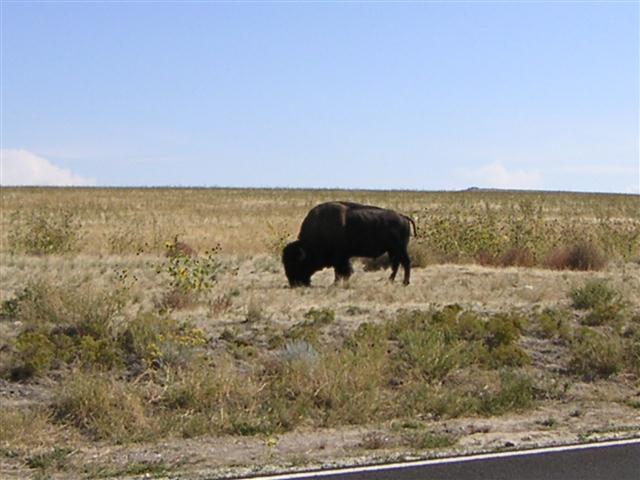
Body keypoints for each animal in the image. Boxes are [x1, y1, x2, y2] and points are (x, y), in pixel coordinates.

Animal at [282, 201, 418, 286]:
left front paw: (336, 283)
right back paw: (390, 281)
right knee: (397, 264)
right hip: (392, 250)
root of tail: (403, 217)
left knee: (405, 262)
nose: (293, 283)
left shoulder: (340, 258)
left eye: (295, 263)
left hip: (400, 249)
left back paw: (405, 283)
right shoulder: (342, 258)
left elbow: (341, 271)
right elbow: (341, 271)